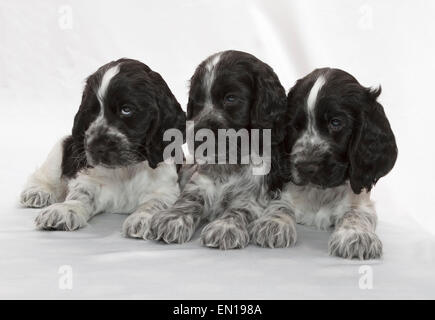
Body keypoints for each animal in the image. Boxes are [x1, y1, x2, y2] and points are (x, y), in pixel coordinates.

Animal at [20, 57, 186, 235]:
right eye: (91, 111)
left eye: (126, 110)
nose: (96, 147)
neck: (125, 171)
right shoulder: (90, 179)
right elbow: (80, 195)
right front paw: (64, 210)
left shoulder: (165, 188)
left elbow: (155, 203)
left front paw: (143, 218)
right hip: (63, 147)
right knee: (47, 173)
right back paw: (37, 192)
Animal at [144, 50, 290, 250]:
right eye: (196, 101)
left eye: (231, 98)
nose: (199, 136)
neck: (231, 161)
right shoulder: (200, 181)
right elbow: (189, 199)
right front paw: (173, 219)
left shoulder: (254, 195)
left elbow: (240, 209)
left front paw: (225, 227)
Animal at [260, 68, 400, 260]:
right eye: (295, 126)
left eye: (336, 122)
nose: (305, 168)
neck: (321, 193)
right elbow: (280, 205)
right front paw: (274, 224)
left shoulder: (362, 199)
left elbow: (355, 212)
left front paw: (356, 236)